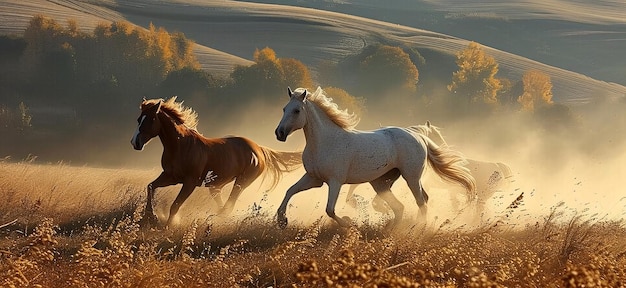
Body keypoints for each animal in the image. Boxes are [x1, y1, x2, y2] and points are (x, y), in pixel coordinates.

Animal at [130, 97, 302, 227]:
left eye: (151, 119)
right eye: (139, 119)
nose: (135, 143)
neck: (180, 145)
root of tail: (258, 149)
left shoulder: (189, 182)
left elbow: (175, 205)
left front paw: (167, 226)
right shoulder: (170, 177)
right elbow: (151, 186)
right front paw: (150, 216)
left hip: (241, 182)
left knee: (229, 205)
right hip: (216, 187)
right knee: (223, 206)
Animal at [272, 86, 472, 228]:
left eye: (296, 111)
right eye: (283, 109)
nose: (279, 133)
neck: (325, 141)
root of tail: (417, 135)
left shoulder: (335, 181)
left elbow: (330, 209)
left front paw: (348, 223)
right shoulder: (313, 178)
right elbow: (289, 190)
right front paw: (282, 220)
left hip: (411, 177)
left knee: (421, 202)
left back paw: (417, 228)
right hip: (381, 183)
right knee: (400, 207)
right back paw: (391, 229)